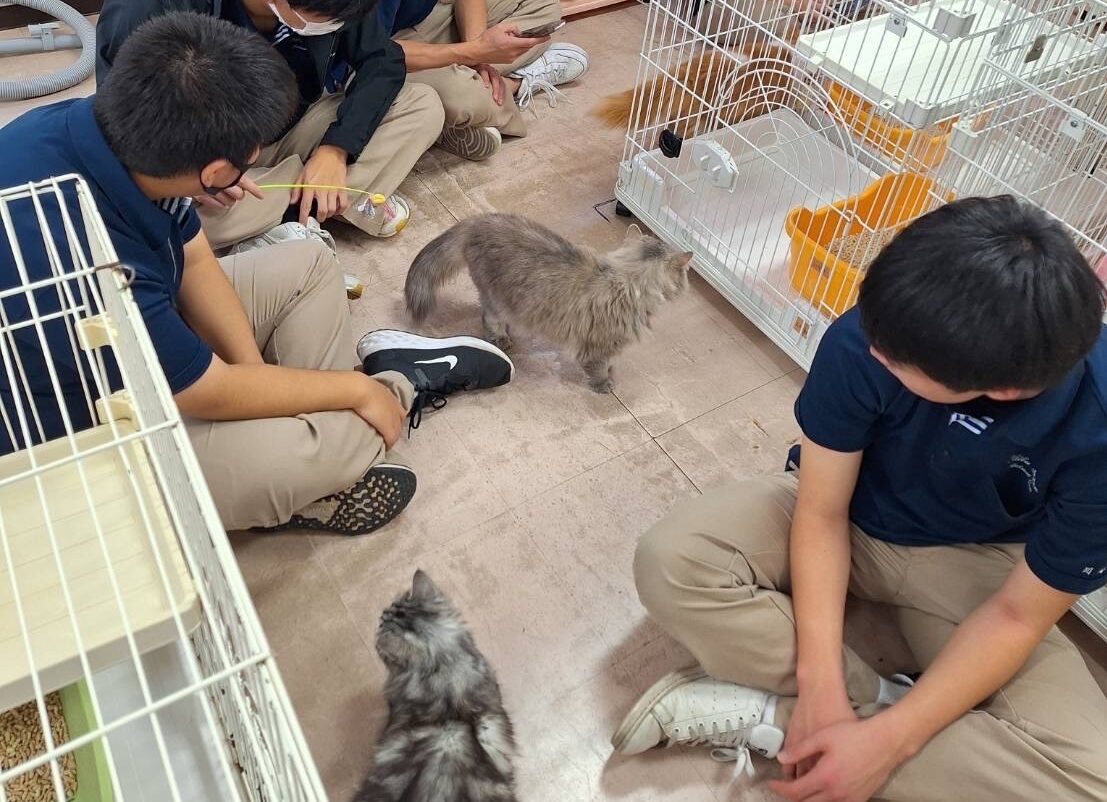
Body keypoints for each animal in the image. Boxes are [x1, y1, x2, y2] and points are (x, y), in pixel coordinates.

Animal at [402, 211, 686, 389]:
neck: (624, 280)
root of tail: (477, 221)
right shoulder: (598, 344)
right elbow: (598, 367)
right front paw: (604, 384)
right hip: (496, 297)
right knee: (489, 316)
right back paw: (501, 338)